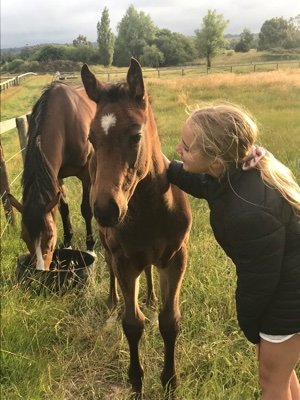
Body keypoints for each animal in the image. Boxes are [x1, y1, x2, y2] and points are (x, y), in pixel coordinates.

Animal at [7, 81, 96, 270]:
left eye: (50, 236)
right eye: (24, 237)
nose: (40, 269)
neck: (65, 121)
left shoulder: (85, 174)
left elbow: (86, 209)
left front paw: (90, 248)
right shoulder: (56, 175)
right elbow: (63, 208)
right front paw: (68, 243)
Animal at [81, 57, 191, 398]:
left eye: (135, 136)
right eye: (92, 138)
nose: (106, 209)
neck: (150, 211)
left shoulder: (176, 257)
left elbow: (169, 320)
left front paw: (170, 380)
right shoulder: (125, 260)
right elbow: (132, 323)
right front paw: (137, 381)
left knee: (151, 274)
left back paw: (152, 296)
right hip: (109, 247)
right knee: (111, 271)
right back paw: (112, 300)